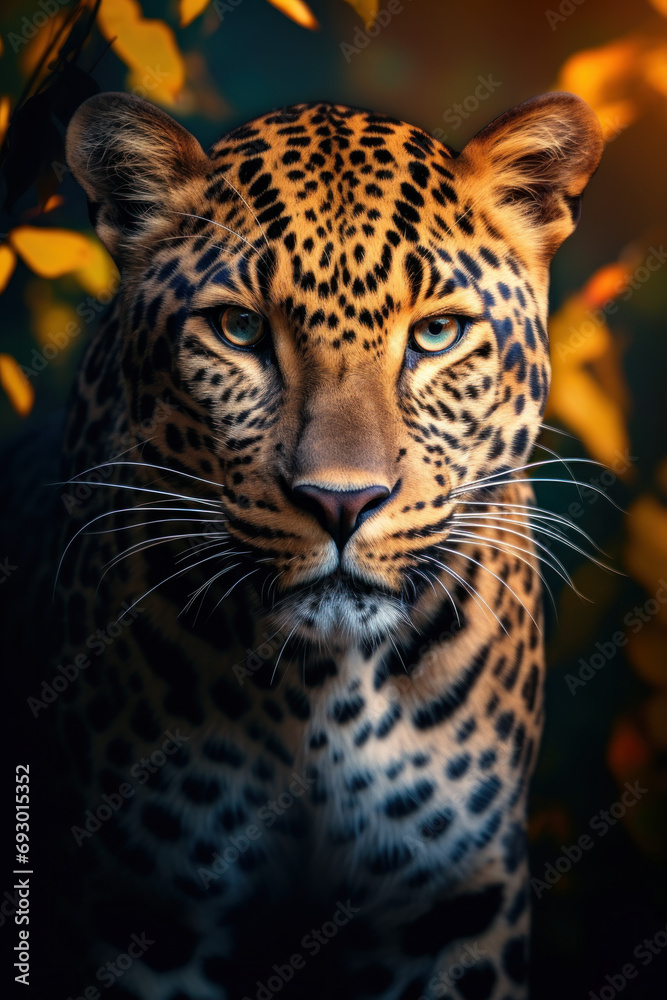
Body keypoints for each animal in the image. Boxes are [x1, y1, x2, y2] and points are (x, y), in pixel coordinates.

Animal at [2, 90, 603, 1000]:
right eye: (239, 329)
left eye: (435, 335)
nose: (341, 501)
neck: (323, 689)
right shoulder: (146, 904)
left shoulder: (448, 899)